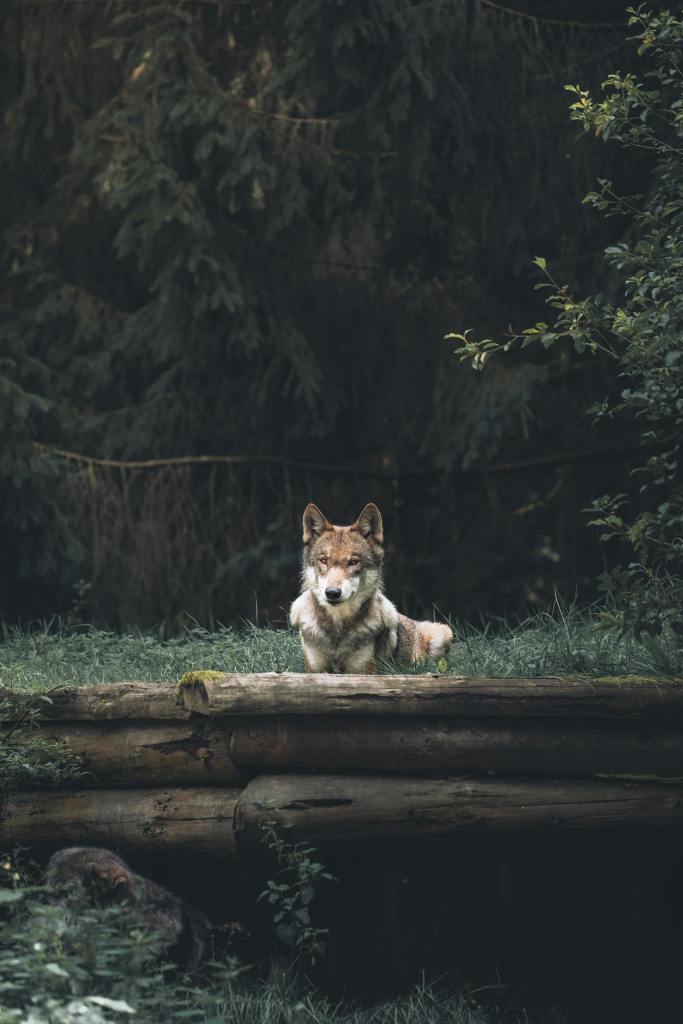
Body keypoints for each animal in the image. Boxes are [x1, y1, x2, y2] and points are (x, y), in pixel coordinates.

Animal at [289, 502, 453, 673]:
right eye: (323, 560)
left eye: (353, 562)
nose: (332, 593)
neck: (337, 632)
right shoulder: (314, 669)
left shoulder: (363, 670)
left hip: (444, 632)